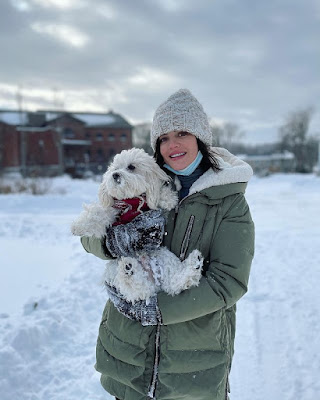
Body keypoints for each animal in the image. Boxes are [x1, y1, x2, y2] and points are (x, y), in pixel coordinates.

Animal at [72, 148, 202, 304]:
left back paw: (194, 265)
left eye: (131, 167)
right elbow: (98, 212)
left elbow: (158, 193)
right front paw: (79, 226)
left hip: (164, 257)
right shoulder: (113, 209)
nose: (115, 175)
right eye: (115, 169)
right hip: (114, 266)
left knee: (173, 284)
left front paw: (168, 198)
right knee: (138, 290)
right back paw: (129, 270)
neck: (132, 199)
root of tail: (152, 279)